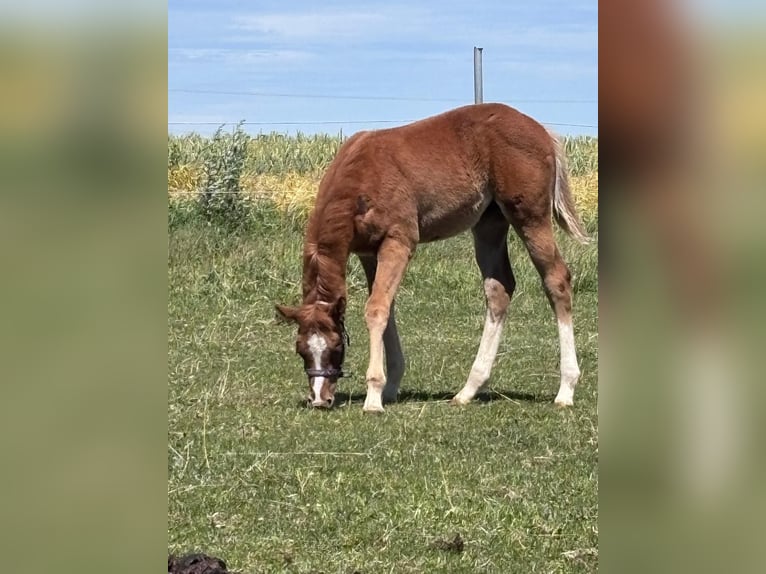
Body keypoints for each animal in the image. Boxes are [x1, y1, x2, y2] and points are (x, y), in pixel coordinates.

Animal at [276, 103, 590, 412]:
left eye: (337, 346)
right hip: (489, 224)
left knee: (556, 280)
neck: (360, 176)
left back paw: (566, 389)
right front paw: (391, 387)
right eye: (301, 350)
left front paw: (374, 396)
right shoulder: (368, 252)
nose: (319, 399)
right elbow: (386, 307)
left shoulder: (399, 241)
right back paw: (468, 390)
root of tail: (543, 131)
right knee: (499, 288)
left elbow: (376, 309)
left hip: (530, 216)